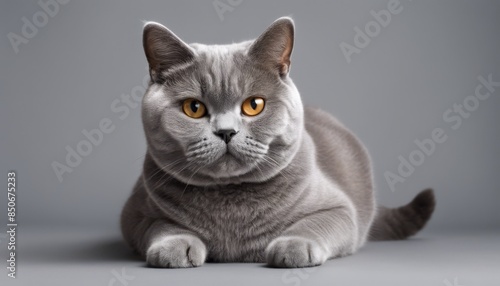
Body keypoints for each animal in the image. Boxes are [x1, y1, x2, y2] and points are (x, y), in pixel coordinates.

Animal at [121, 17, 434, 268]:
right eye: (193, 108)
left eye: (254, 105)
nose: (226, 132)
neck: (230, 206)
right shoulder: (133, 214)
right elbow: (160, 225)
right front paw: (175, 247)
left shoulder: (341, 210)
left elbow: (315, 223)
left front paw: (293, 246)